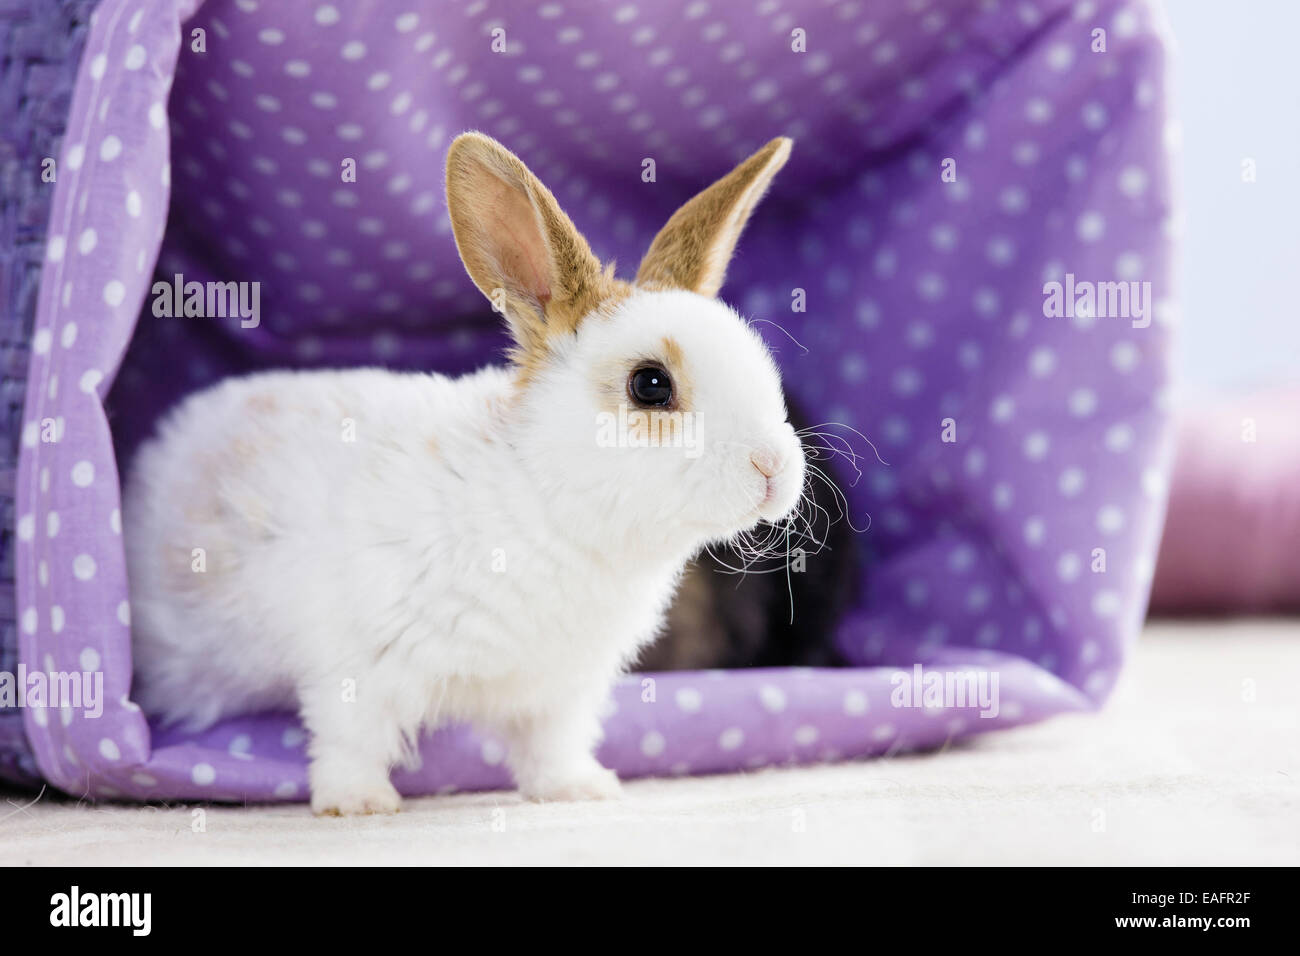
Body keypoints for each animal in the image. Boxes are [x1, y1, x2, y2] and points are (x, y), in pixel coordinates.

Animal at [126, 132, 806, 816]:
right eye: (650, 385)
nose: (773, 467)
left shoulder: (560, 692)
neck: (548, 504)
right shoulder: (358, 665)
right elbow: (350, 739)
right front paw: (358, 804)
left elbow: (552, 746)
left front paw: (579, 790)